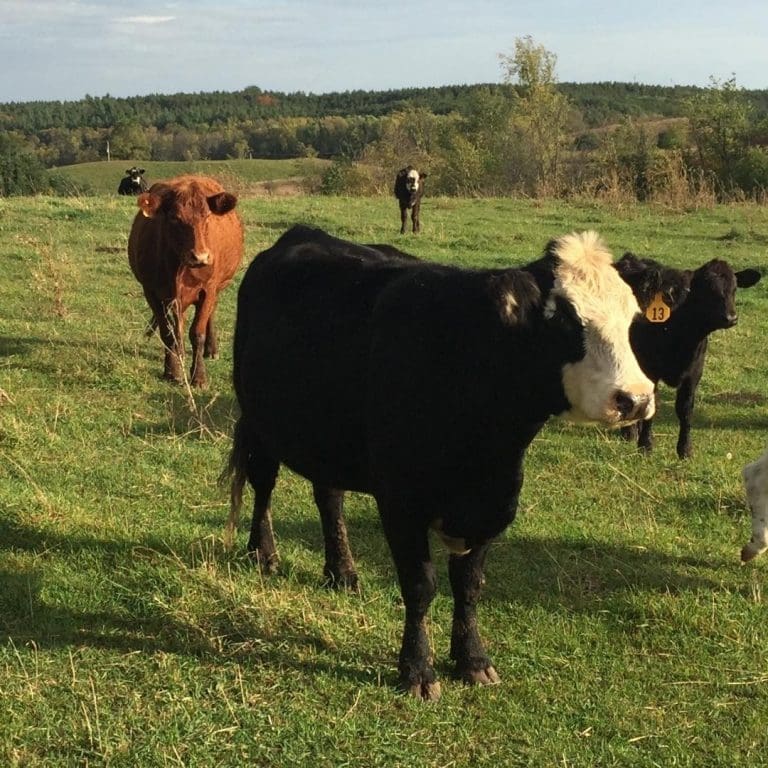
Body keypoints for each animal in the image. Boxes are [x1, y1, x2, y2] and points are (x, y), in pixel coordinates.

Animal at [128, 176, 243, 388]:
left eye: (207, 216)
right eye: (175, 218)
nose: (200, 257)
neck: (179, 267)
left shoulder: (208, 289)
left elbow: (197, 333)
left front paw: (199, 377)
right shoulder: (152, 292)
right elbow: (167, 333)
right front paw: (172, 371)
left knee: (210, 314)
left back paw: (211, 350)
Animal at [224, 224, 656, 704]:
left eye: (633, 320)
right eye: (564, 320)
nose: (636, 398)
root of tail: (300, 234)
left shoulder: (494, 504)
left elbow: (469, 586)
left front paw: (473, 660)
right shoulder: (401, 503)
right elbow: (420, 585)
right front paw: (416, 669)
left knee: (329, 497)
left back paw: (343, 571)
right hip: (260, 418)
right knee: (263, 482)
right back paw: (263, 553)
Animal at [616, 252, 760, 460]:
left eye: (734, 288)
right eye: (707, 290)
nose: (731, 318)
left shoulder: (694, 373)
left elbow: (685, 410)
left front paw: (685, 449)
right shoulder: (650, 369)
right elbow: (653, 405)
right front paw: (645, 445)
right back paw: (629, 432)